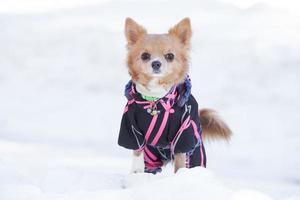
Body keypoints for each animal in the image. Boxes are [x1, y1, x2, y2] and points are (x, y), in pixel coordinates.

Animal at [118, 17, 232, 173]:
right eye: (145, 56)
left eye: (170, 56)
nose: (156, 63)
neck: (156, 98)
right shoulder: (131, 128)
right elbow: (137, 153)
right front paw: (135, 174)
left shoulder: (183, 134)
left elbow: (180, 161)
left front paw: (180, 176)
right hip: (151, 158)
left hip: (196, 154)